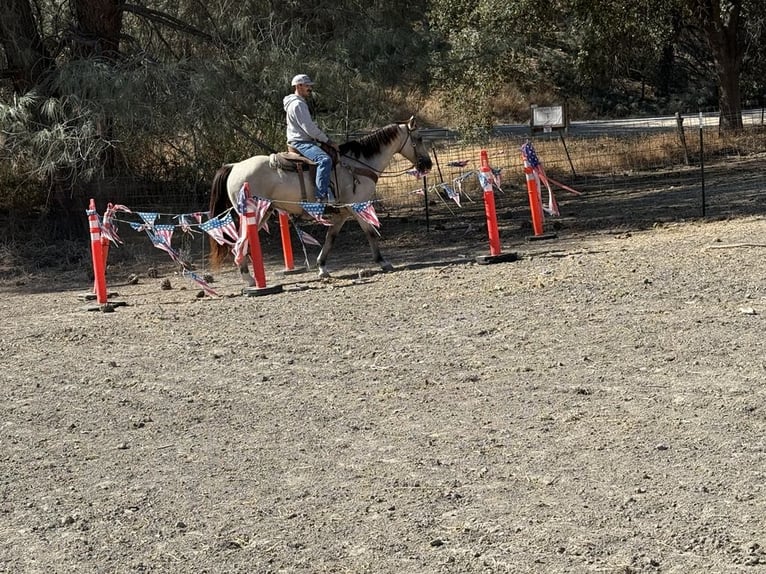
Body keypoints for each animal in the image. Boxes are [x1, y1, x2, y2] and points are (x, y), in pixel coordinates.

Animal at [208, 116, 432, 282]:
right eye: (419, 138)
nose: (428, 164)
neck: (358, 163)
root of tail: (234, 166)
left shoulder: (342, 213)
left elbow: (330, 238)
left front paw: (322, 267)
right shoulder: (358, 207)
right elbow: (370, 233)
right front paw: (383, 262)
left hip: (263, 213)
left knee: (241, 243)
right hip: (253, 214)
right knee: (239, 244)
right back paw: (250, 280)